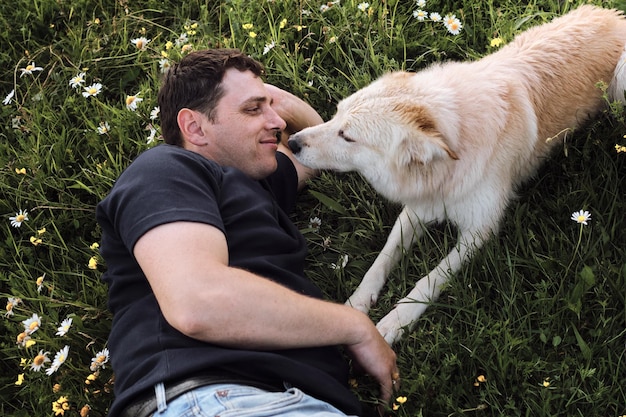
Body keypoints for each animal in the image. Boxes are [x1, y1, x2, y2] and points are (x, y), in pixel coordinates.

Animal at [288, 5, 626, 344]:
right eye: (335, 115)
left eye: (347, 136)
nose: (291, 143)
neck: (448, 160)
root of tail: (612, 15)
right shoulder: (418, 208)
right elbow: (381, 258)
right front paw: (358, 301)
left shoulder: (479, 230)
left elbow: (430, 278)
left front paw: (395, 321)